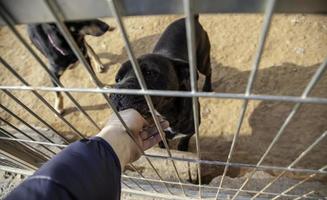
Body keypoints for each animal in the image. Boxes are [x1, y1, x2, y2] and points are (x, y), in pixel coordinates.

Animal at [110, 14, 213, 161]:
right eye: (117, 79)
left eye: (149, 73)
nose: (116, 93)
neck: (165, 113)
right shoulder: (159, 134)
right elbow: (163, 143)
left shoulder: (192, 129)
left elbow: (185, 139)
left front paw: (183, 148)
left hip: (202, 60)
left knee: (209, 71)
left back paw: (208, 87)